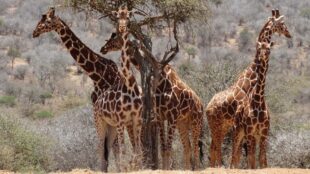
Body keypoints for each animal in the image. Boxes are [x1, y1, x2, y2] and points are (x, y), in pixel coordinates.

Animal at [32, 7, 142, 172]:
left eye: (46, 21)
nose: (34, 32)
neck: (97, 75)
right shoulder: (101, 110)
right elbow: (109, 147)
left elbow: (115, 147)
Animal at [100, 31, 205, 170]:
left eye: (115, 37)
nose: (103, 48)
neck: (162, 82)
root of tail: (201, 104)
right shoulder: (161, 117)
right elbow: (163, 148)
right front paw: (165, 169)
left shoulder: (171, 117)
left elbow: (168, 147)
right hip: (183, 123)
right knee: (187, 147)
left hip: (195, 122)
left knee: (196, 147)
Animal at [207, 8, 292, 168]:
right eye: (282, 24)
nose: (289, 34)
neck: (252, 73)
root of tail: (207, 107)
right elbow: (245, 153)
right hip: (217, 125)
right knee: (216, 147)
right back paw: (217, 167)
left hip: (222, 126)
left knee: (214, 147)